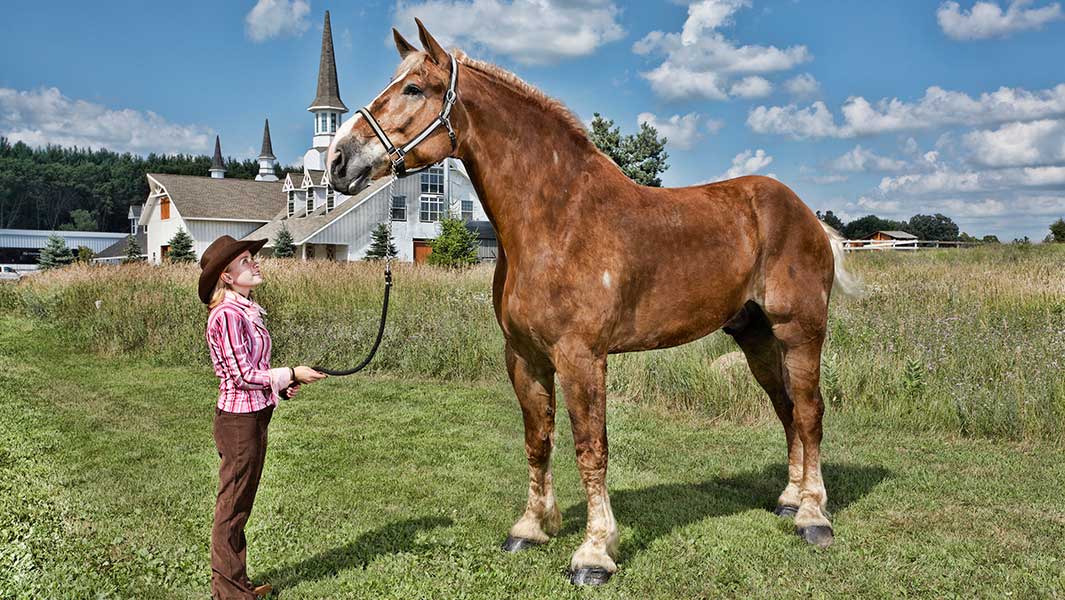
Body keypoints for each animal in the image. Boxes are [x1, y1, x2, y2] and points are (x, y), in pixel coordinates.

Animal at [327, 19, 860, 586]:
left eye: (413, 89)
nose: (338, 160)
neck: (557, 220)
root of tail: (809, 217)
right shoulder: (525, 357)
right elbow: (538, 440)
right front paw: (531, 528)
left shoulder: (581, 357)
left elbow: (591, 448)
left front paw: (595, 552)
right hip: (755, 335)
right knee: (786, 409)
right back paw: (789, 499)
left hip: (800, 332)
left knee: (809, 411)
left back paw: (812, 516)